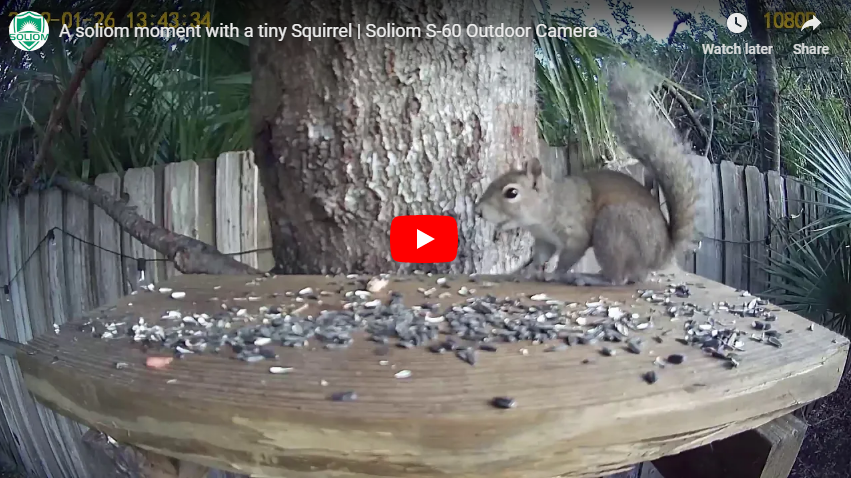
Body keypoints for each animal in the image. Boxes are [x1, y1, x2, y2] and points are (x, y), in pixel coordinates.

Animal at [475, 63, 697, 286]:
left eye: (511, 193)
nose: (478, 211)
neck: (547, 206)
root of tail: (661, 255)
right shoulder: (545, 240)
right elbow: (540, 257)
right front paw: (525, 272)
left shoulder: (576, 233)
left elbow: (569, 256)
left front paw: (554, 274)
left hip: (613, 229)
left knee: (618, 279)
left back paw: (590, 278)